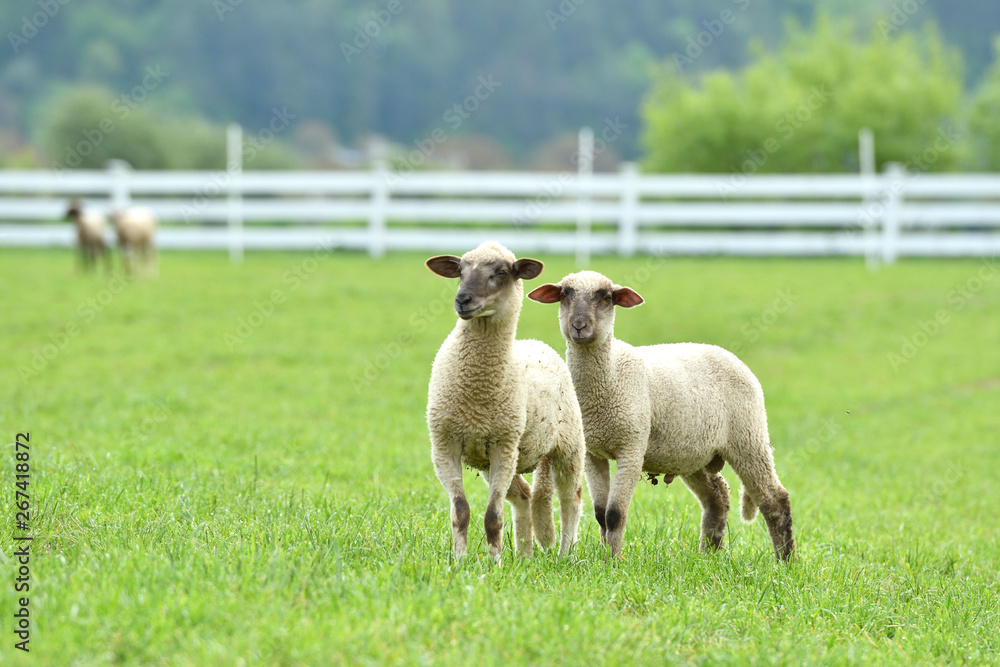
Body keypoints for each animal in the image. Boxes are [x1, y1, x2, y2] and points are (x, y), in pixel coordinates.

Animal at [425, 241, 585, 563]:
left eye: (501, 272)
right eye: (460, 270)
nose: (462, 300)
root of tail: (536, 342)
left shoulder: (503, 445)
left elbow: (493, 516)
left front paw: (494, 564)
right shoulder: (445, 445)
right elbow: (460, 511)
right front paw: (459, 562)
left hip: (568, 445)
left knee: (570, 499)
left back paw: (565, 553)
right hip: (496, 459)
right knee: (524, 496)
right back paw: (524, 556)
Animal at [528, 270, 795, 561]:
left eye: (607, 297)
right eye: (564, 295)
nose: (578, 325)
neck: (608, 378)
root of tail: (730, 356)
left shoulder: (632, 448)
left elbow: (614, 515)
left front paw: (614, 561)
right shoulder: (592, 453)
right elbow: (600, 515)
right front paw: (604, 556)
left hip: (748, 437)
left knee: (775, 499)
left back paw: (785, 561)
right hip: (692, 454)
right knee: (717, 498)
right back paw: (708, 556)